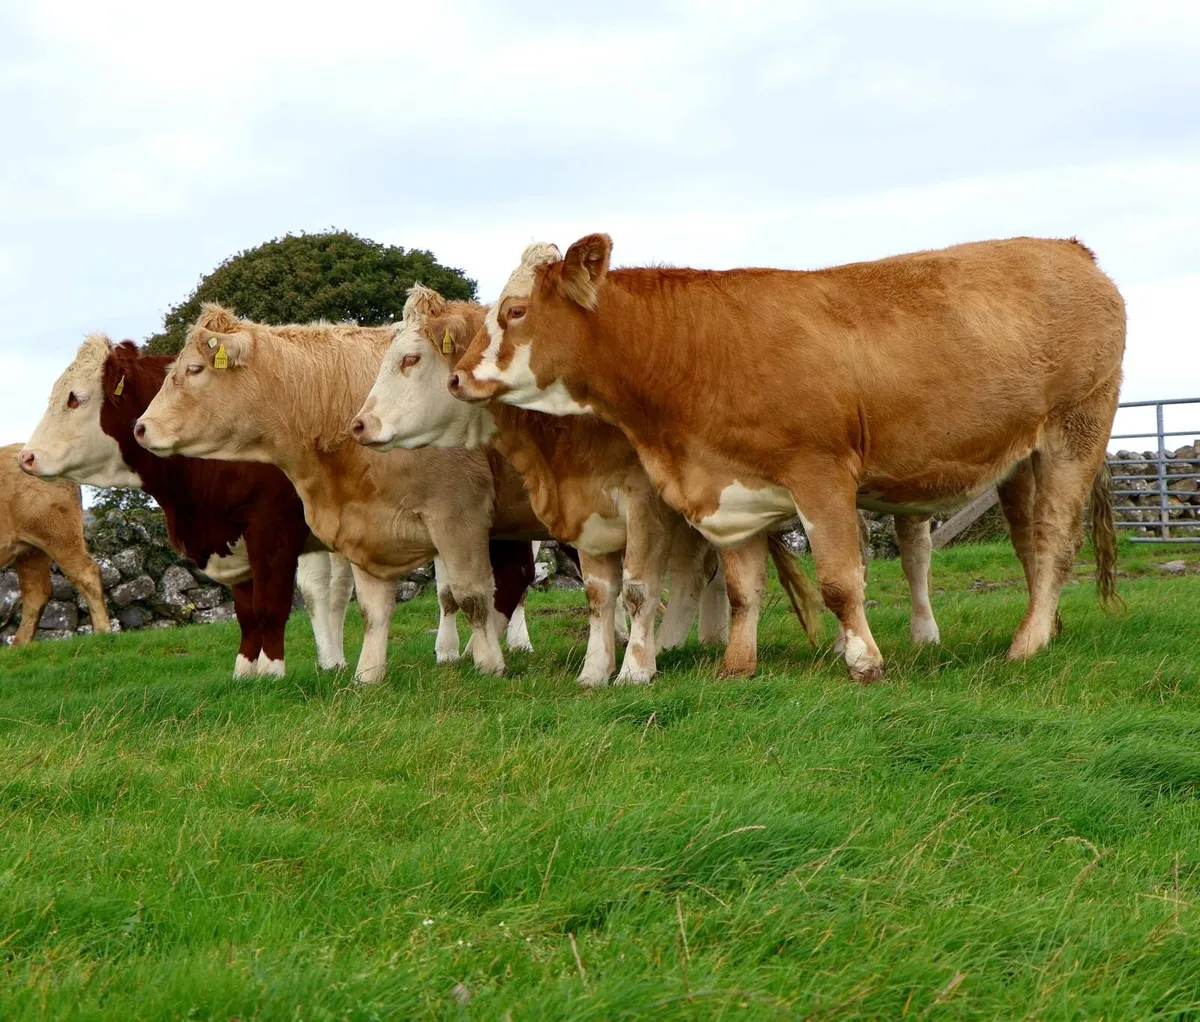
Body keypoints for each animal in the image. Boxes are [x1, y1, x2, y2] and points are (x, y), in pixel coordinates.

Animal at [2, 444, 111, 644]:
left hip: (59, 535)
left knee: (87, 573)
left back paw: (102, 632)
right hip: (31, 550)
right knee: (36, 593)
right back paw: (19, 646)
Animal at [131, 306, 544, 683]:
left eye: (194, 369)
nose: (141, 428)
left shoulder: (458, 513)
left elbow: (470, 592)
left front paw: (489, 666)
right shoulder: (364, 523)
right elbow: (372, 609)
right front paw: (367, 675)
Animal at [349, 285, 825, 685]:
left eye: (410, 359)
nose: (359, 424)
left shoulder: (645, 504)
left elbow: (636, 588)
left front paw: (635, 669)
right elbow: (598, 592)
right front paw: (601, 665)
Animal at [447, 236, 1125, 681]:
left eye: (514, 311)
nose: (456, 377)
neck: (696, 350)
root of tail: (1069, 250)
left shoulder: (820, 473)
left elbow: (840, 581)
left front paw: (864, 660)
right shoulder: (731, 491)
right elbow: (743, 588)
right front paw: (736, 664)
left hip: (1077, 430)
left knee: (1054, 540)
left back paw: (1027, 644)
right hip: (1019, 461)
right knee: (1030, 544)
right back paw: (1046, 629)